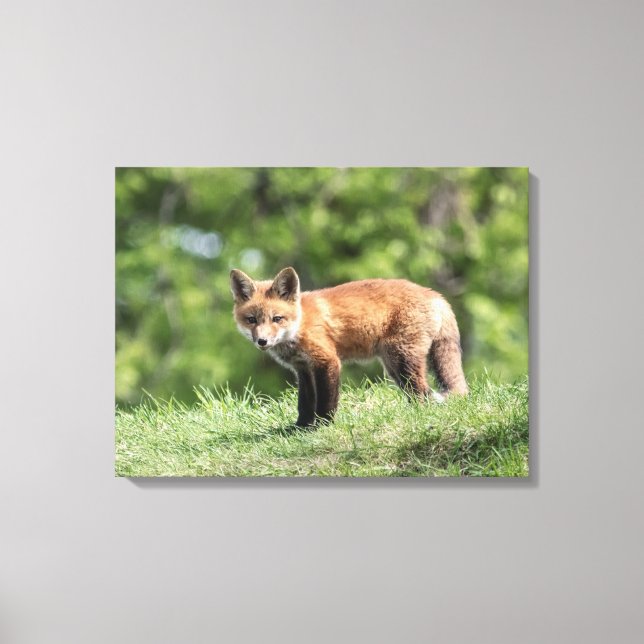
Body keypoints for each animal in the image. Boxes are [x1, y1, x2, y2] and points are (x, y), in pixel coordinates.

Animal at [230, 267, 468, 427]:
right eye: (251, 320)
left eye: (277, 318)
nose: (262, 341)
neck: (300, 325)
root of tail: (436, 295)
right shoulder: (303, 369)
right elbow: (305, 403)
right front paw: (300, 428)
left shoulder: (327, 361)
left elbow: (326, 401)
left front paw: (322, 426)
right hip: (393, 366)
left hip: (402, 359)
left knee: (422, 393)